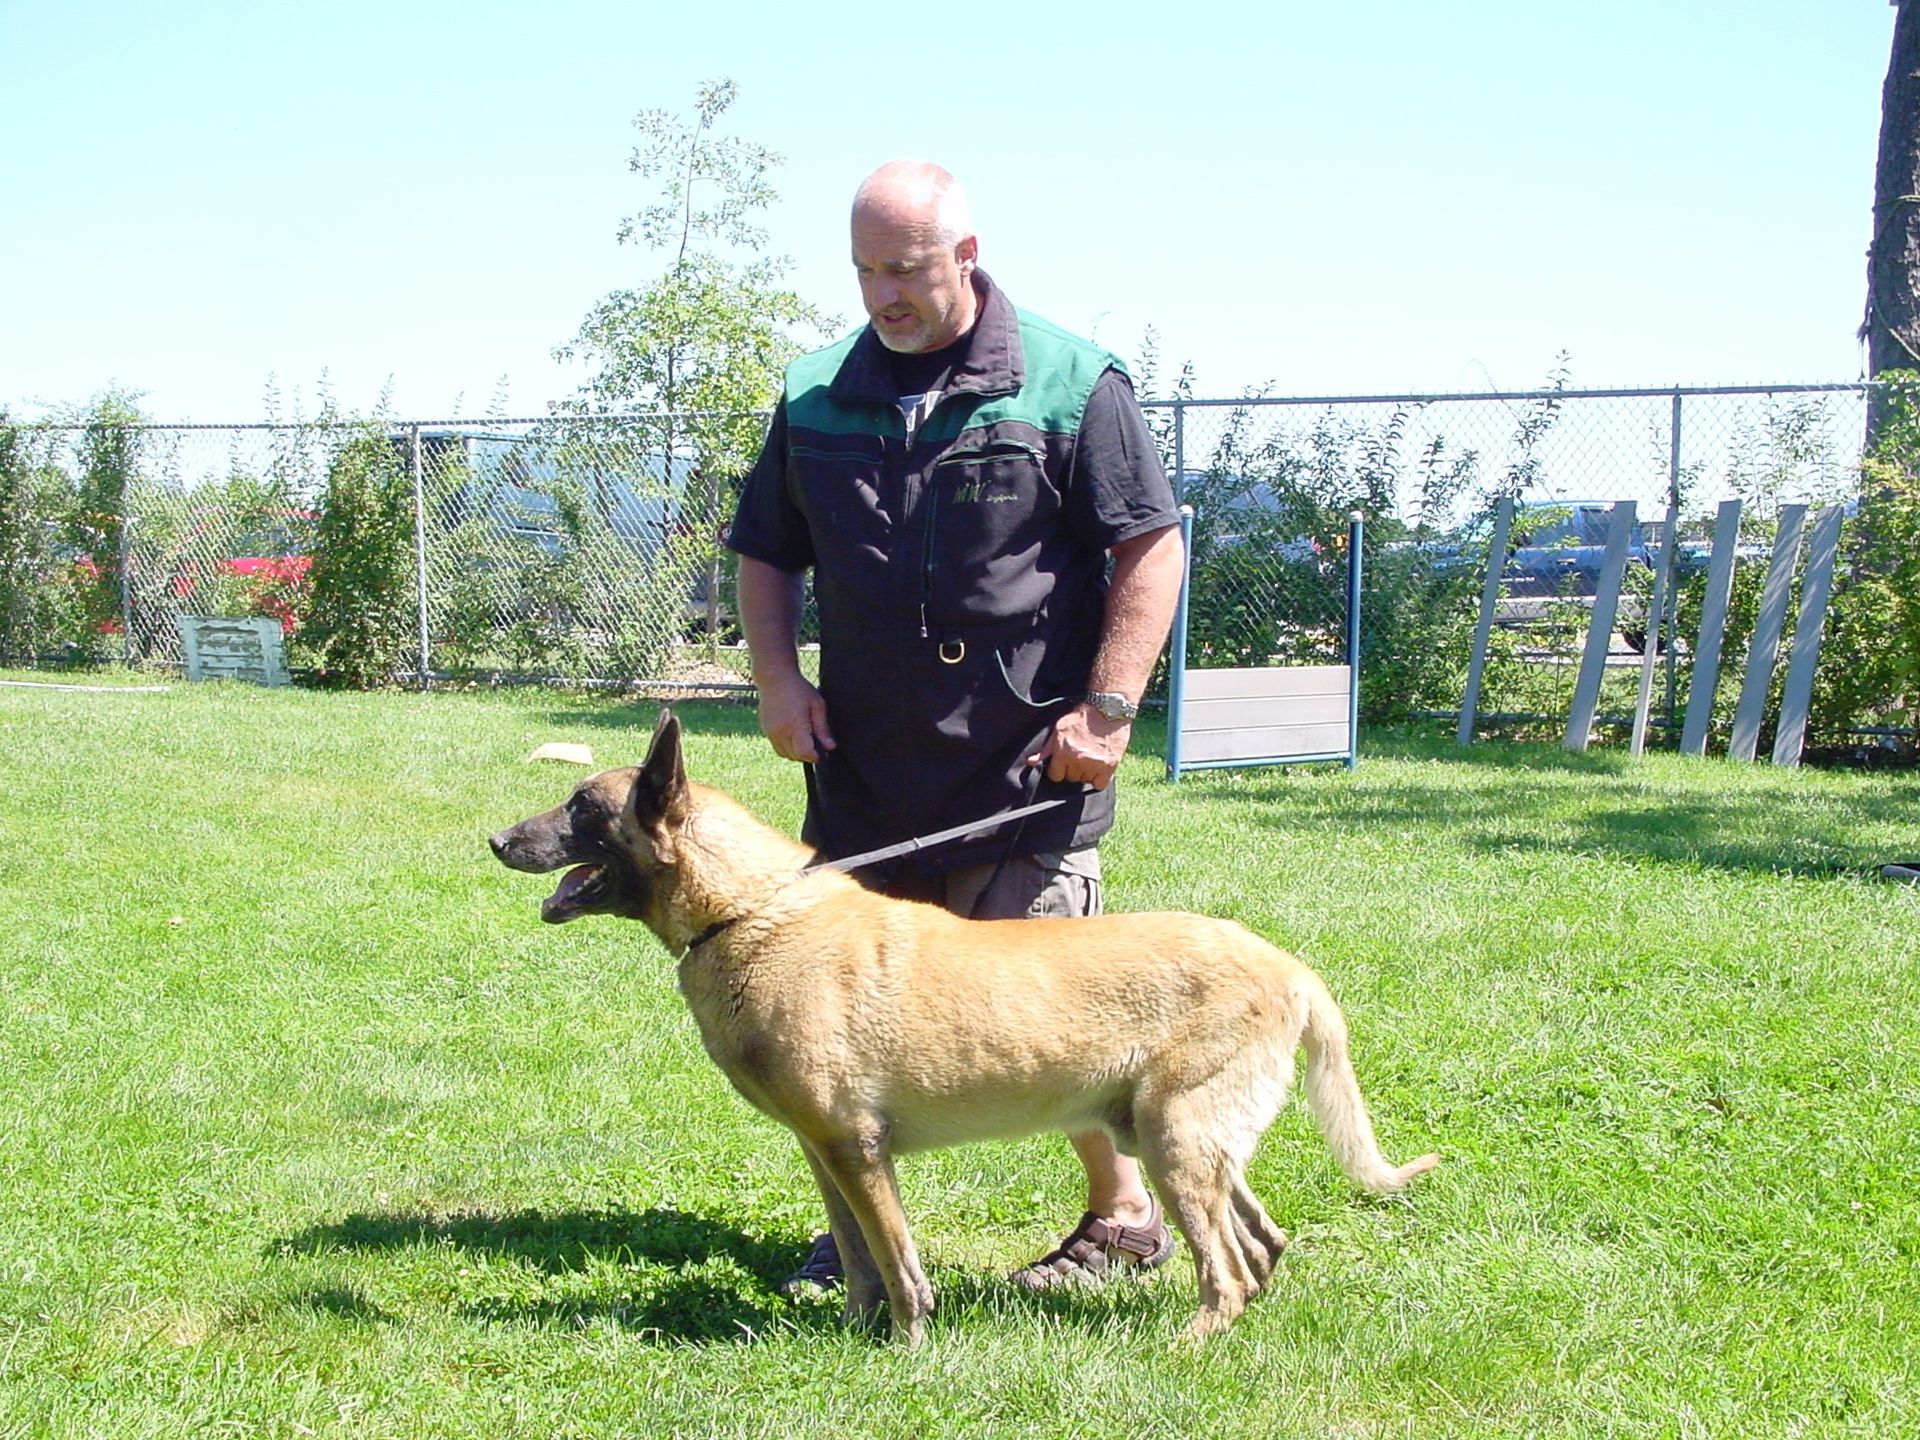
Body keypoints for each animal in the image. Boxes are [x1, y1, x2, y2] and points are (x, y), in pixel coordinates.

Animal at [495, 718, 1443, 1351]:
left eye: (581, 808)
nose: (499, 838)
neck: (747, 913)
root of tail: (1292, 970)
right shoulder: (826, 1153)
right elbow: (858, 1261)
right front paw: (856, 1331)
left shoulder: (858, 1151)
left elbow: (898, 1265)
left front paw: (907, 1350)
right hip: (1176, 1139)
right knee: (1263, 1245)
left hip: (1175, 1141)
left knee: (1231, 1272)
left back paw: (1187, 1347)